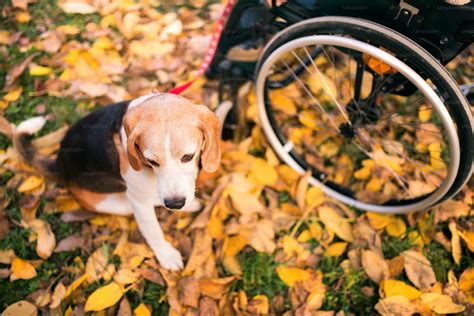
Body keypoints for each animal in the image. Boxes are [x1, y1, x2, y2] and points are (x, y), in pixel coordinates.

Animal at [13, 92, 221, 270]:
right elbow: (153, 231)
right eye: (152, 161)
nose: (175, 204)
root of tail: (59, 164)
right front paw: (166, 254)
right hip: (120, 204)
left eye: (188, 156)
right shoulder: (139, 201)